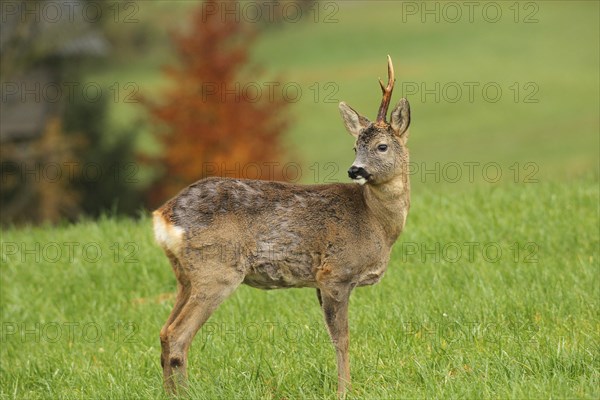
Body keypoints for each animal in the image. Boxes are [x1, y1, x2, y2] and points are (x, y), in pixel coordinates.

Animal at [152, 56, 410, 396]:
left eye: (381, 146)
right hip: (216, 270)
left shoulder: (319, 282)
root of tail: (163, 216)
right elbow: (341, 339)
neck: (376, 223)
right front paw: (344, 391)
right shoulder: (335, 273)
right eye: (355, 148)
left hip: (184, 275)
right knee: (178, 335)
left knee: (164, 331)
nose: (355, 170)